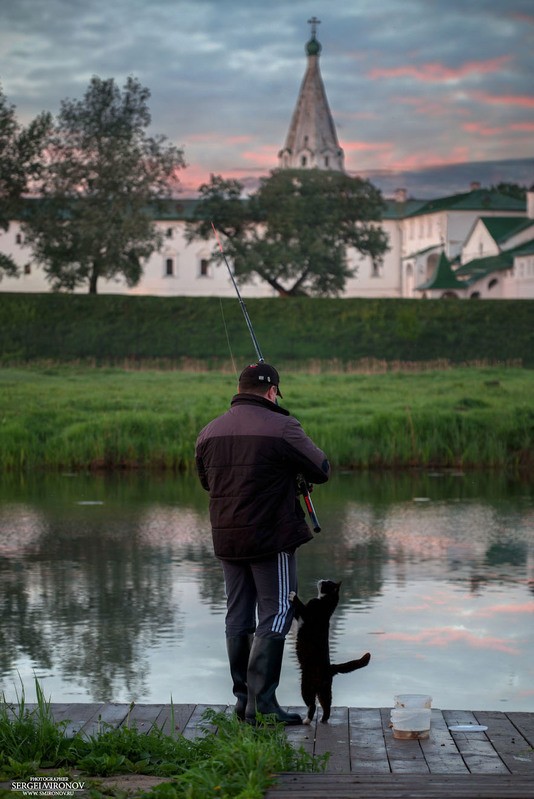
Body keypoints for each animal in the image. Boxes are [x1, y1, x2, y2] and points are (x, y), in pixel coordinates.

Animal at [288, 580, 372, 724]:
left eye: (327, 582)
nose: (320, 580)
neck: (325, 605)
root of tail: (330, 668)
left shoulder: (308, 612)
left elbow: (300, 606)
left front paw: (293, 595)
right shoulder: (301, 616)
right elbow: (297, 612)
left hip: (307, 686)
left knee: (312, 705)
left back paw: (307, 720)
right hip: (324, 691)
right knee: (327, 706)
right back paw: (323, 719)